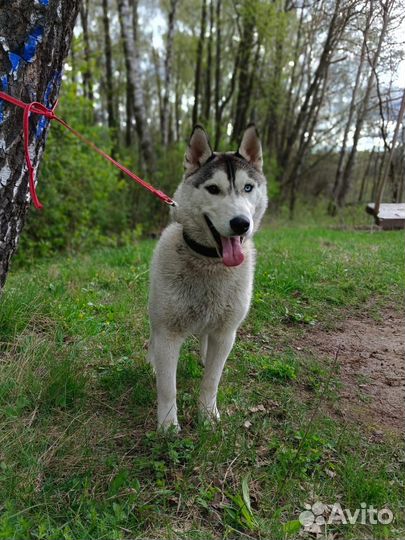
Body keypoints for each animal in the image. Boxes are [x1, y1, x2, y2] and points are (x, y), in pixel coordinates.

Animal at [147, 123, 266, 430]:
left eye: (248, 187)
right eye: (213, 189)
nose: (241, 223)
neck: (210, 263)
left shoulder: (225, 334)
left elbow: (212, 380)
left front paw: (208, 416)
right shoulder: (168, 333)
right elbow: (168, 386)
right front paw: (167, 426)